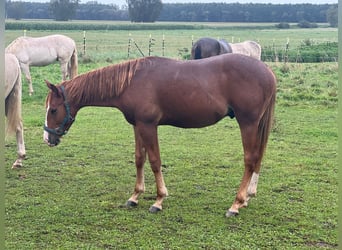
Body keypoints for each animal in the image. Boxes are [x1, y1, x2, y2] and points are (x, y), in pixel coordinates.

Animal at [44, 54, 276, 217]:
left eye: (53, 110)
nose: (48, 139)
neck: (131, 82)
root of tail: (266, 70)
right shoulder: (137, 125)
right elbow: (139, 159)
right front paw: (135, 196)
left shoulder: (148, 126)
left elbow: (155, 161)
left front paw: (159, 200)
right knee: (257, 158)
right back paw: (246, 198)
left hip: (247, 123)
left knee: (250, 159)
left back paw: (236, 204)